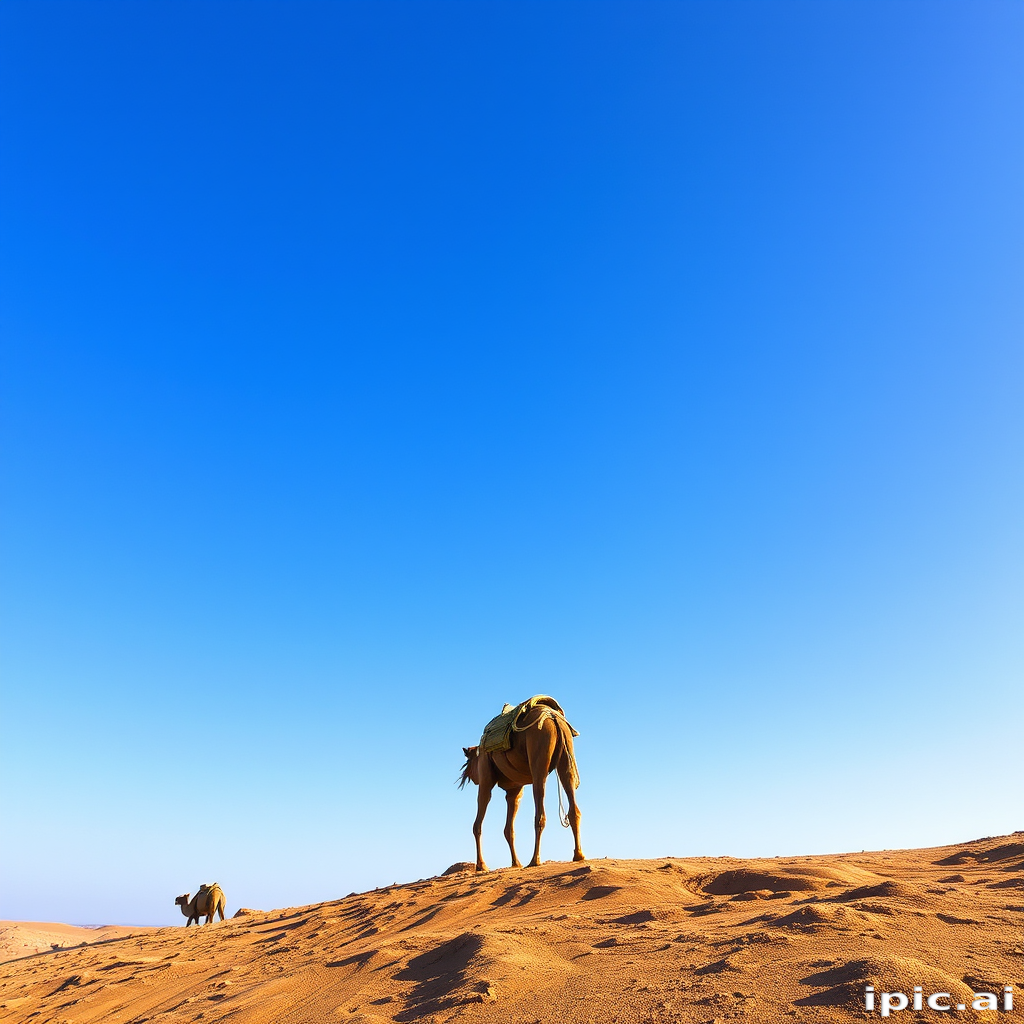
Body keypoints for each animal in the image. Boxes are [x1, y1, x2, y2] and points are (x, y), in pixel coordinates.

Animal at [459, 698, 583, 871]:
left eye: (468, 761)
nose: (468, 775)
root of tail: (552, 716)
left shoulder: (485, 776)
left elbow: (477, 824)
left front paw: (481, 866)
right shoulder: (515, 790)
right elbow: (509, 829)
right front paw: (515, 863)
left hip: (539, 748)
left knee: (540, 812)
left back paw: (534, 860)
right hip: (567, 755)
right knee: (573, 803)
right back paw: (578, 855)